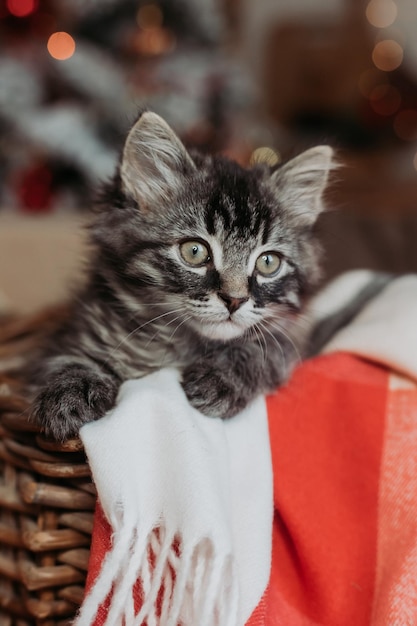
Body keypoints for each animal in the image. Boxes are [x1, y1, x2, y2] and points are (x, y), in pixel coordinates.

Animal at [26, 111, 334, 438]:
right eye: (194, 252)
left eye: (267, 262)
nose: (235, 300)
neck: (178, 346)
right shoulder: (69, 334)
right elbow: (62, 359)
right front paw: (69, 390)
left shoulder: (291, 340)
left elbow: (263, 351)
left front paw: (221, 378)